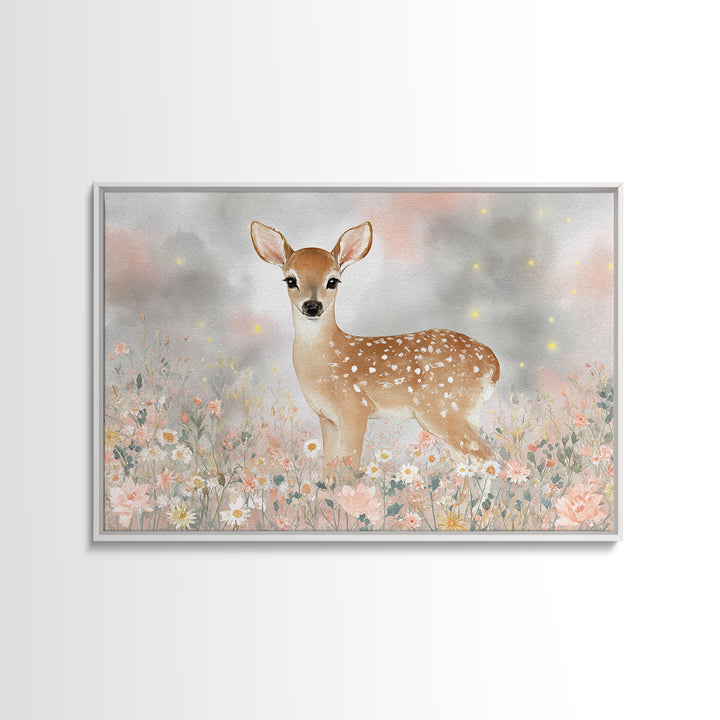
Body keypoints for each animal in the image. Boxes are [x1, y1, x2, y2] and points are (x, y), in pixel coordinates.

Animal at [250, 220, 500, 482]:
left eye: (333, 281)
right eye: (290, 280)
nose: (312, 306)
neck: (327, 359)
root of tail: (494, 365)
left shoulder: (354, 407)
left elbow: (349, 468)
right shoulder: (327, 417)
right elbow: (329, 470)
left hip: (441, 409)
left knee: (486, 456)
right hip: (459, 414)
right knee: (468, 462)